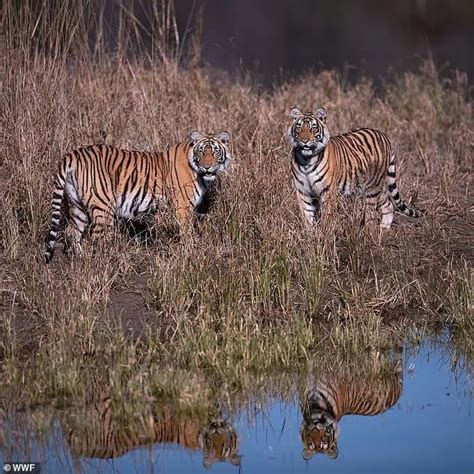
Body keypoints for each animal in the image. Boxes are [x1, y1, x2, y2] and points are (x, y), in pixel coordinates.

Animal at [43, 130, 232, 262]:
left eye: (215, 152)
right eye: (201, 152)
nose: (207, 167)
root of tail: (73, 154)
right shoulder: (183, 207)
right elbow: (187, 232)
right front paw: (190, 252)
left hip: (77, 205)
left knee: (71, 231)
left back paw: (79, 258)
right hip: (103, 207)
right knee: (97, 237)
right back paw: (105, 262)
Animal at [286, 106, 424, 229]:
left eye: (313, 128)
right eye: (299, 127)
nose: (304, 141)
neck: (306, 160)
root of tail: (383, 135)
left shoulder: (327, 191)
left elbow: (327, 216)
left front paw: (324, 234)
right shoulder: (303, 191)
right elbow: (307, 216)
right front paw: (310, 235)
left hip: (372, 187)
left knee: (371, 214)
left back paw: (369, 234)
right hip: (374, 187)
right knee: (388, 204)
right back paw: (383, 229)